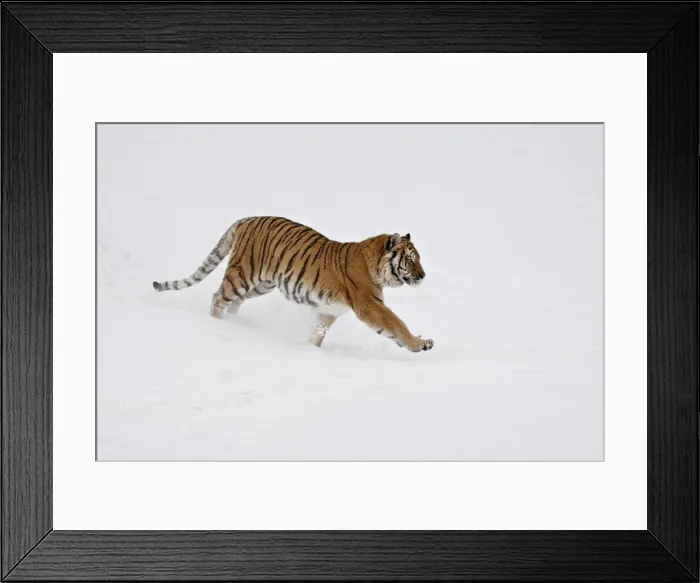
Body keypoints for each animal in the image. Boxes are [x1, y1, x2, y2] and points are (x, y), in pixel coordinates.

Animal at [152, 216, 434, 352]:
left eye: (419, 258)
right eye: (411, 259)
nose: (422, 276)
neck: (377, 267)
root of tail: (245, 219)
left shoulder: (328, 310)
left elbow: (317, 333)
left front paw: (311, 351)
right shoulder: (369, 305)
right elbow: (396, 324)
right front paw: (420, 344)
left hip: (261, 285)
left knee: (234, 302)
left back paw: (237, 323)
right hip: (242, 275)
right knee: (218, 298)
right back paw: (218, 324)